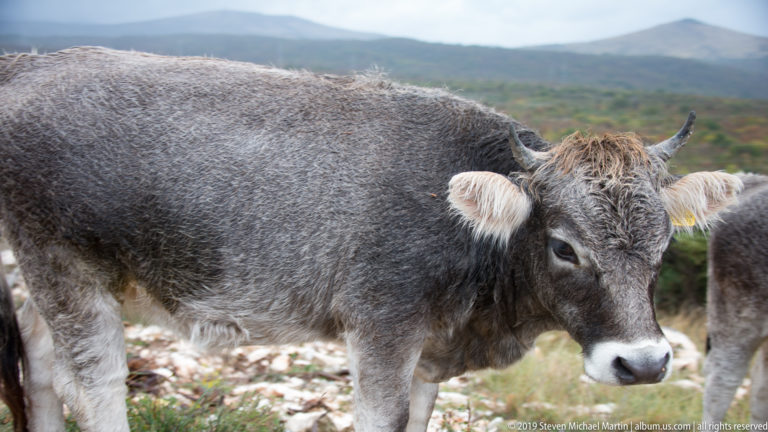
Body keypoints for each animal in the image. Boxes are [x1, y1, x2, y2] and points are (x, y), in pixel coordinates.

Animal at [0, 47, 742, 431]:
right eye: (564, 246)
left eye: (664, 246)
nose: (642, 364)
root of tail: (36, 60)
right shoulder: (382, 329)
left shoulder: (427, 353)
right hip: (66, 268)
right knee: (94, 387)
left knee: (34, 349)